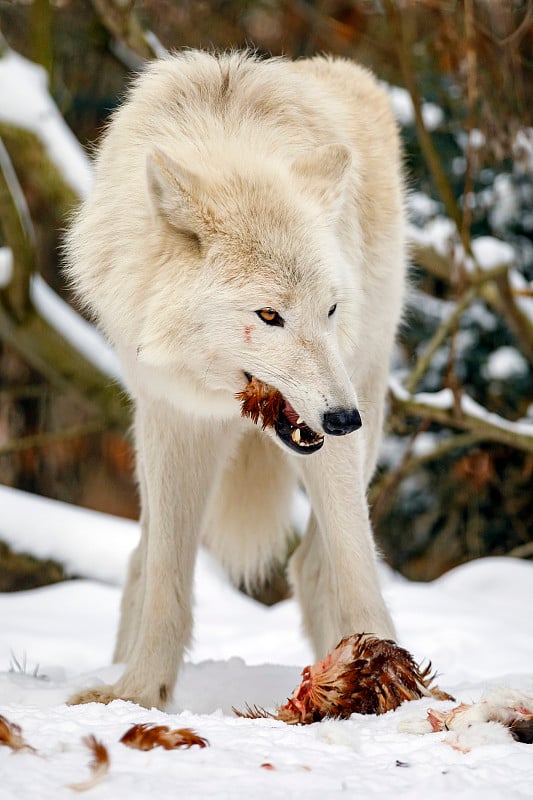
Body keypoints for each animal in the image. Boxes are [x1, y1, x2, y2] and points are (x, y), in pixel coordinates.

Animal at [66, 53, 408, 708]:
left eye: (330, 309)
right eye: (269, 316)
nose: (342, 419)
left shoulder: (335, 428)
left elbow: (356, 562)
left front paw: (392, 679)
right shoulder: (175, 419)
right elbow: (167, 578)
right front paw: (140, 693)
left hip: (370, 399)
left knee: (312, 567)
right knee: (141, 559)